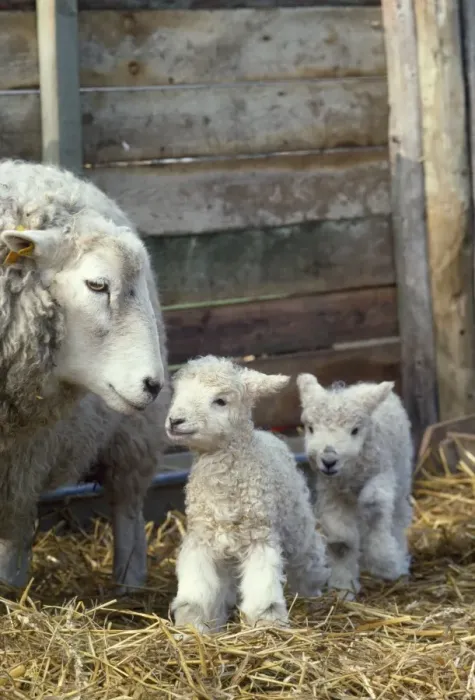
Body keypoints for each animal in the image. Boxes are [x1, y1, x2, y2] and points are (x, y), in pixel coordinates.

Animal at [0, 158, 171, 592]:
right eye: (97, 285)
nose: (153, 385)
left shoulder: (23, 455)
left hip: (133, 433)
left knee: (127, 504)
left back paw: (129, 584)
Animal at [165, 355, 329, 633]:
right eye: (177, 392)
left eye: (220, 401)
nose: (175, 421)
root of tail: (267, 433)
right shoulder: (202, 539)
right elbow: (197, 592)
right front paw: (193, 625)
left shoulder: (259, 537)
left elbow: (262, 590)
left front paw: (267, 622)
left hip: (296, 520)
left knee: (308, 556)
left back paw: (313, 594)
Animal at [297, 374, 413, 600]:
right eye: (311, 428)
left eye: (355, 430)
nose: (329, 460)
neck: (350, 475)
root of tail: (366, 384)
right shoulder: (331, 493)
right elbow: (341, 540)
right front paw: (343, 587)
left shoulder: (382, 474)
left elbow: (375, 507)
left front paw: (386, 564)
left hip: (401, 475)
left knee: (397, 517)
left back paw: (398, 558)